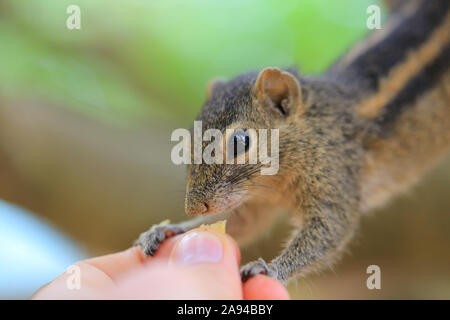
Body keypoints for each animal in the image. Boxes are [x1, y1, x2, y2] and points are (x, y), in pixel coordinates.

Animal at [137, 0, 450, 284]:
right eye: (187, 142)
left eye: (240, 141)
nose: (193, 208)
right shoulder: (258, 202)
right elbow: (243, 222)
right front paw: (171, 229)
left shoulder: (335, 176)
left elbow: (329, 228)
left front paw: (270, 268)